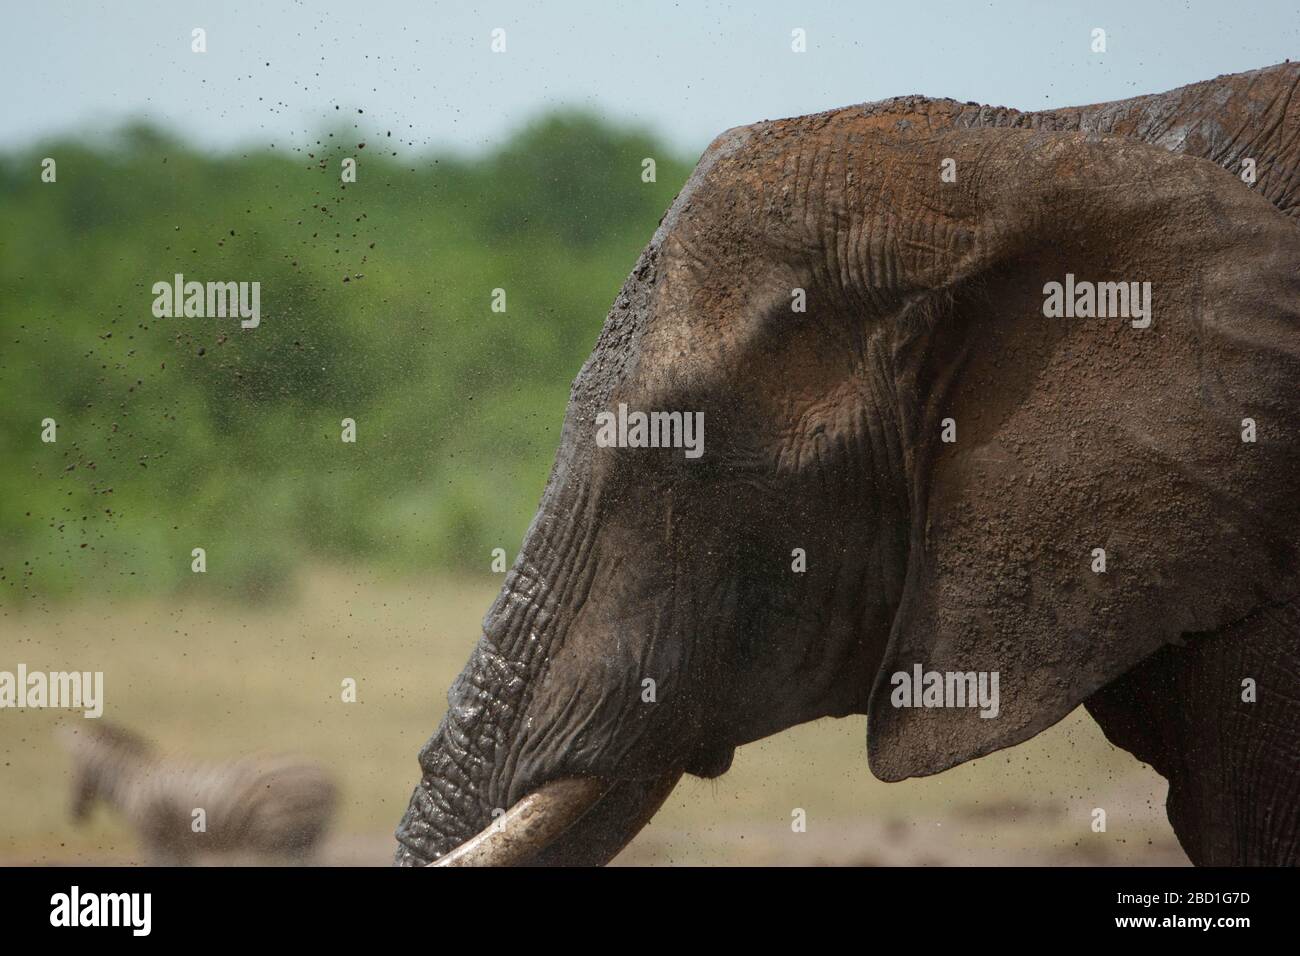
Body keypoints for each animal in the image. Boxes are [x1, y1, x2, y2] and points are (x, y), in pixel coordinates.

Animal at [61, 723, 338, 863]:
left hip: (278, 833)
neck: (133, 779)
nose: (74, 815)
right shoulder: (178, 844)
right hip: (305, 839)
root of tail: (328, 779)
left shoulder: (154, 837)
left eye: (74, 771)